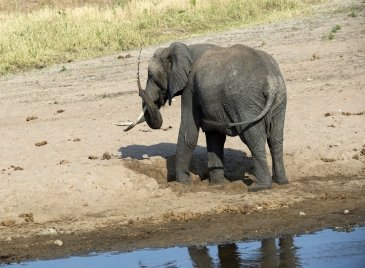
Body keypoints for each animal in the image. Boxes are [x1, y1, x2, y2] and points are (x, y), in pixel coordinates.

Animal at [125, 42, 288, 192]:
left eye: (151, 76)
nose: (141, 92)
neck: (185, 48)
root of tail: (271, 83)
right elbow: (214, 136)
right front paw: (217, 185)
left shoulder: (190, 88)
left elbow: (188, 134)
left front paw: (184, 183)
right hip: (279, 100)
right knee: (276, 138)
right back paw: (281, 182)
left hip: (245, 102)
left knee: (253, 139)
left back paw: (259, 187)